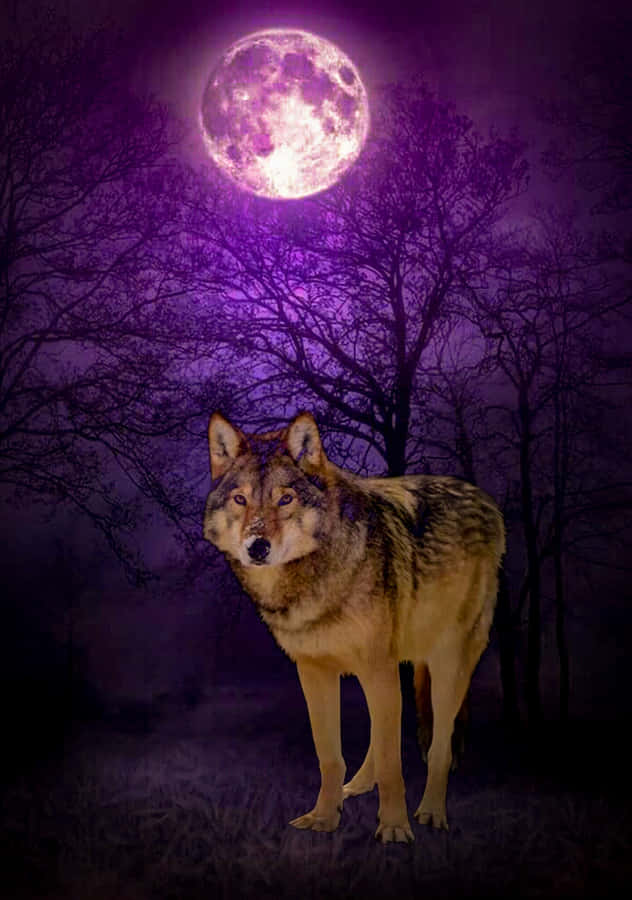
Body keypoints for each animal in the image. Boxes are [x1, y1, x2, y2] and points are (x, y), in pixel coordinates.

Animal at [203, 411, 505, 843]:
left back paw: (432, 811)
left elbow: (396, 762)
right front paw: (324, 818)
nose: (256, 547)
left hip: (447, 664)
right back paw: (360, 786)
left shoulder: (378, 667)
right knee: (382, 735)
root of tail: (486, 499)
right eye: (240, 499)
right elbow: (331, 756)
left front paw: (394, 828)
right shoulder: (314, 672)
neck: (318, 579)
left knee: (439, 745)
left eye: (285, 498)